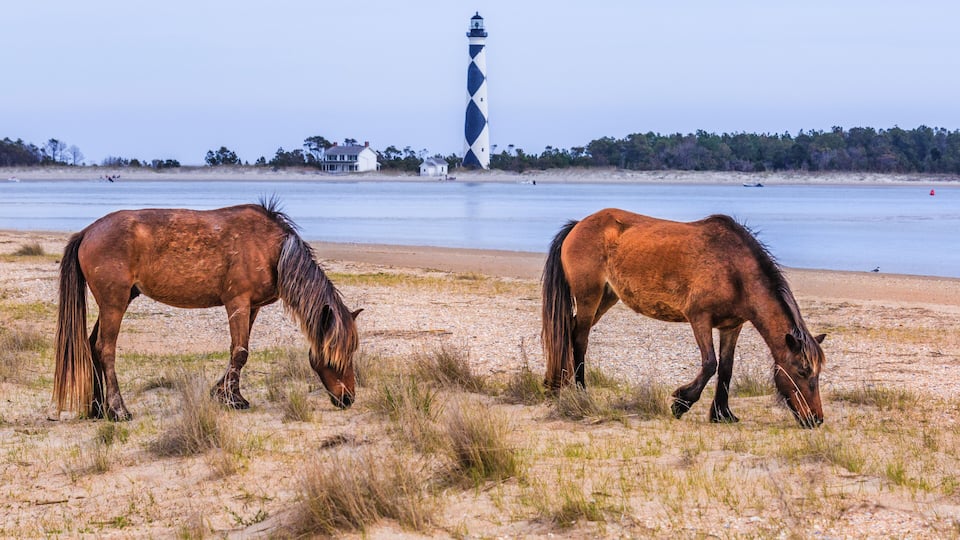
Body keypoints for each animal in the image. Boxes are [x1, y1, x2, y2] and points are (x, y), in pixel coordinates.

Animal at [53, 198, 361, 421]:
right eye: (336, 353)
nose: (348, 398)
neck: (272, 247)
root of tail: (88, 232)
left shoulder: (252, 307)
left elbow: (237, 351)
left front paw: (224, 393)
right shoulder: (237, 302)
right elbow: (240, 352)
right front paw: (232, 399)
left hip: (118, 301)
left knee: (91, 345)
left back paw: (97, 408)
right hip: (113, 303)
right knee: (105, 349)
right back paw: (118, 409)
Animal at [541, 209, 826, 428]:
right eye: (802, 371)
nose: (816, 419)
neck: (734, 269)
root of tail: (579, 225)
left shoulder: (731, 327)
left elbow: (726, 368)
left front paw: (722, 414)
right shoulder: (699, 319)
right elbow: (710, 364)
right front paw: (681, 403)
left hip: (607, 298)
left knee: (570, 332)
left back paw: (556, 384)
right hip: (589, 298)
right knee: (579, 339)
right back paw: (580, 391)